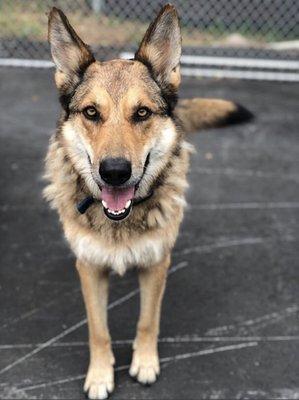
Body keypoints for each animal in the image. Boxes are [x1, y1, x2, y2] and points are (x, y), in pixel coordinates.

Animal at [43, 4, 252, 398]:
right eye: (91, 112)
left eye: (141, 113)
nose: (114, 172)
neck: (120, 222)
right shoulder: (90, 269)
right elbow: (98, 330)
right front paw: (100, 375)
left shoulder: (156, 265)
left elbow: (146, 321)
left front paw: (144, 363)